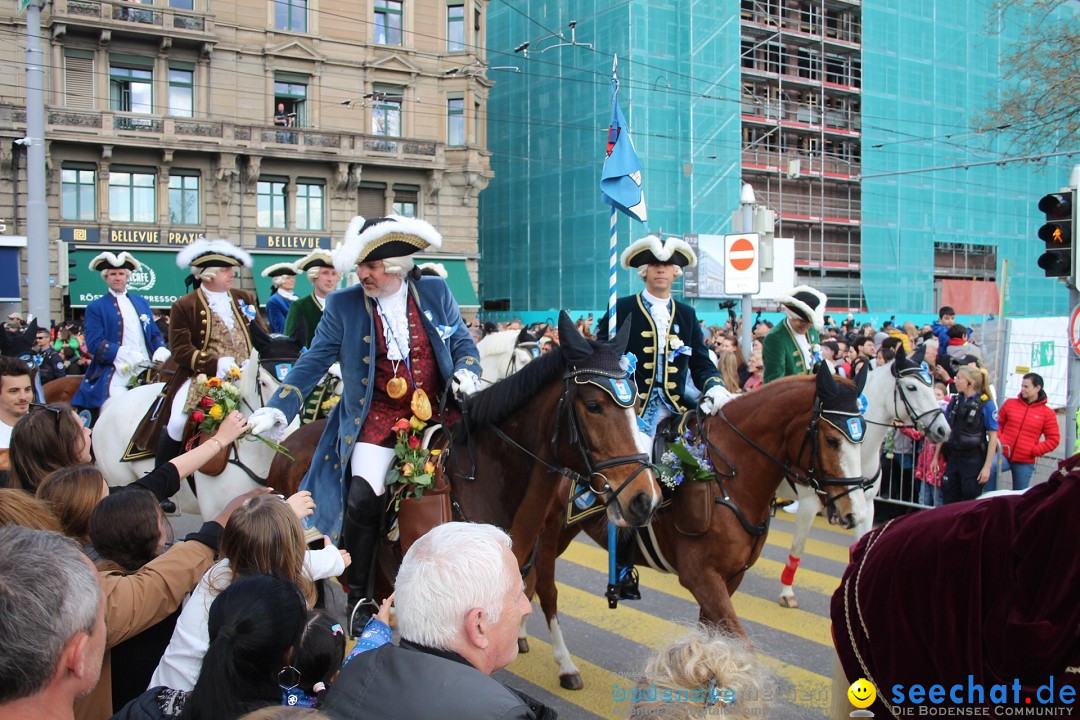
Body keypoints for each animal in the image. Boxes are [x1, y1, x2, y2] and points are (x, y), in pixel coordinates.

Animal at [522, 362, 868, 690]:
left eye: (862, 438)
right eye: (832, 439)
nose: (854, 513)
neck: (728, 477)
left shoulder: (729, 577)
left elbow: (714, 640)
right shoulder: (700, 575)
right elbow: (742, 646)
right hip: (550, 532)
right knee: (546, 589)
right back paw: (566, 666)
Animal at [773, 347, 950, 608]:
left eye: (932, 384)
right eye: (912, 387)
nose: (943, 430)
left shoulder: (864, 506)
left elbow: (860, 548)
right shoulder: (808, 503)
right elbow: (799, 546)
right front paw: (787, 591)